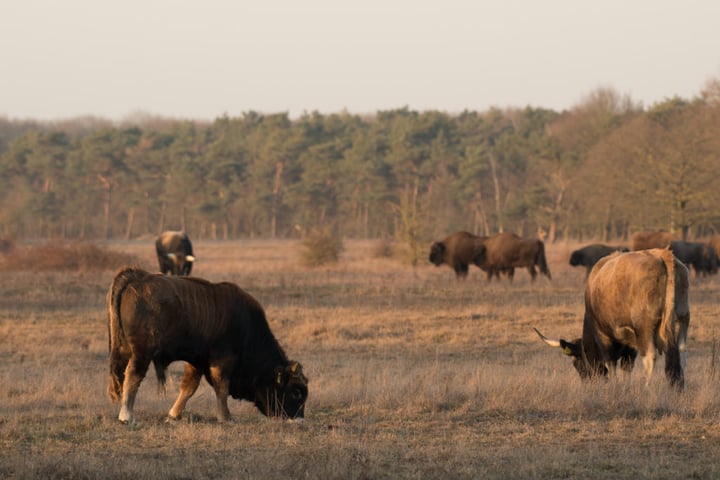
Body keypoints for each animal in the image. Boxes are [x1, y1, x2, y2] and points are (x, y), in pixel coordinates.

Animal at [107, 266, 310, 424]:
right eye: (296, 392)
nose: (299, 419)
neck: (247, 326)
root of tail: (136, 277)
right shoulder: (222, 360)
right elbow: (222, 387)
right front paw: (226, 417)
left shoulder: (197, 361)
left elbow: (189, 387)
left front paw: (173, 415)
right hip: (142, 353)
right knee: (133, 376)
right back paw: (127, 416)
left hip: (124, 350)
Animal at [536, 249, 692, 392]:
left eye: (577, 364)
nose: (588, 384)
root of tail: (663, 255)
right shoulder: (630, 345)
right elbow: (626, 367)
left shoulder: (603, 336)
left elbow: (610, 363)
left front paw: (615, 386)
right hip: (682, 320)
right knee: (681, 353)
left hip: (644, 327)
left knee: (650, 356)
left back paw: (647, 388)